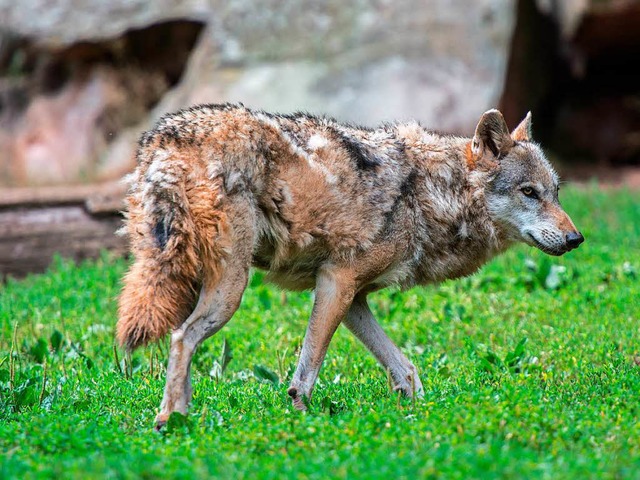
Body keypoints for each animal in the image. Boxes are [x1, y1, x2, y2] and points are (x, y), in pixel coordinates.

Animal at [114, 105, 580, 428]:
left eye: (556, 192)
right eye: (529, 192)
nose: (576, 239)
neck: (430, 195)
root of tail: (164, 139)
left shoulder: (354, 298)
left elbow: (406, 369)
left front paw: (417, 414)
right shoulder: (336, 281)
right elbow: (306, 373)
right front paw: (301, 421)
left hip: (188, 281)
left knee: (182, 341)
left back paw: (182, 414)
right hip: (230, 291)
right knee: (182, 337)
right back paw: (170, 421)